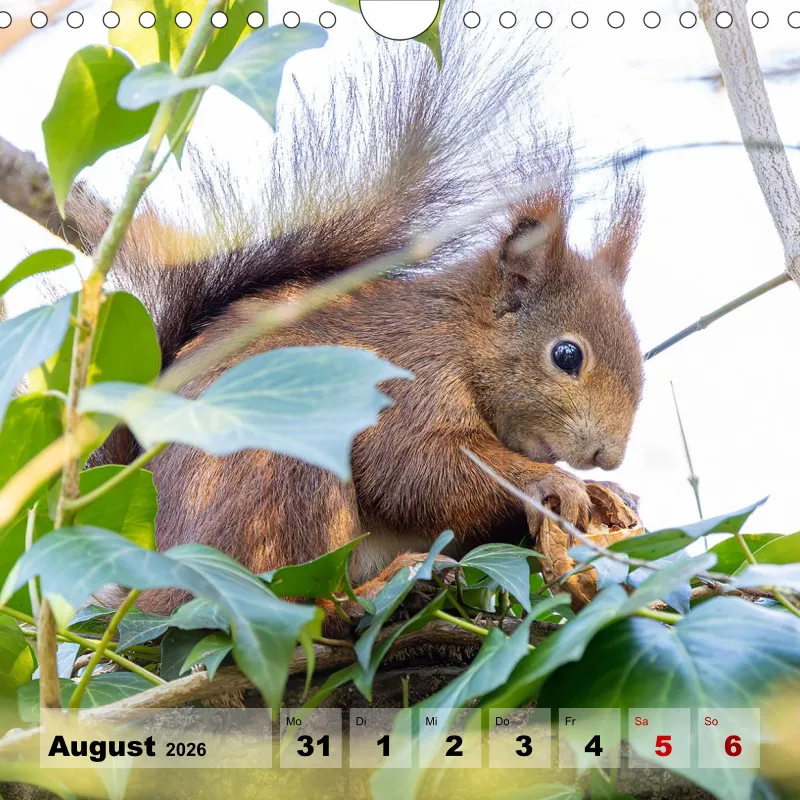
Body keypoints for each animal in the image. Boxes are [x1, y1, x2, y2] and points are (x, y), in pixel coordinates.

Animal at [83, 6, 644, 632]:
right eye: (566, 354)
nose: (607, 455)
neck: (462, 337)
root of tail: (153, 582)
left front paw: (607, 493)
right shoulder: (409, 378)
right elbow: (415, 468)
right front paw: (556, 480)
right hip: (283, 473)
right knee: (303, 603)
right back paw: (389, 585)